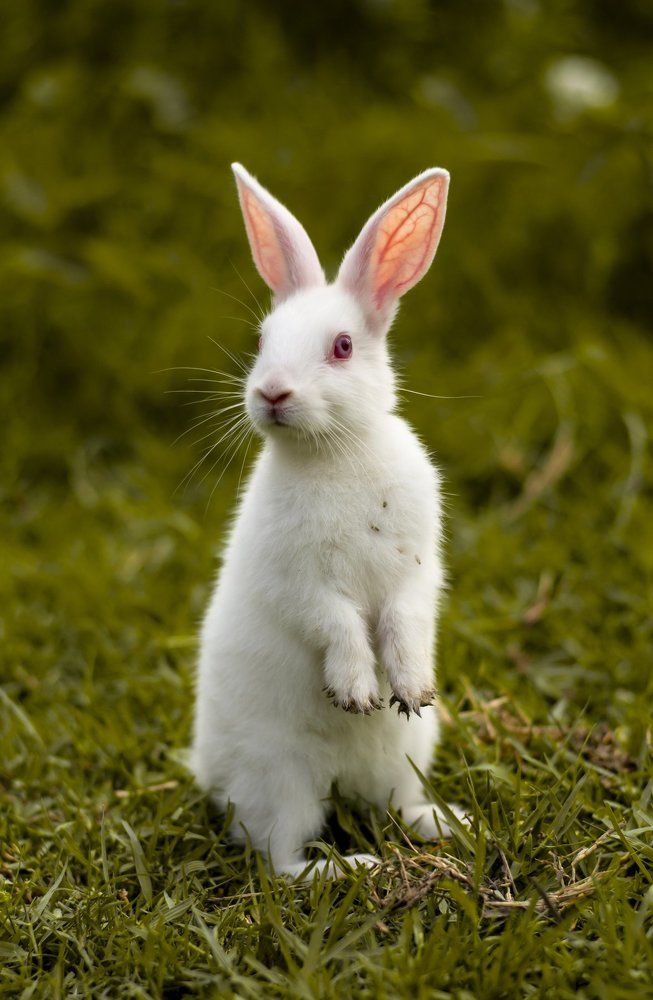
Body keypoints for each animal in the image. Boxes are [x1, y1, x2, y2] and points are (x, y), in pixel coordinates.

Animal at [191, 163, 466, 879]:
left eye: (342, 347)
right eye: (262, 341)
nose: (271, 393)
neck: (336, 451)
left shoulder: (417, 568)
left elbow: (403, 614)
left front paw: (408, 685)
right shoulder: (298, 582)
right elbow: (336, 622)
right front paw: (356, 691)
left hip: (403, 756)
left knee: (394, 807)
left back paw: (448, 823)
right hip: (280, 782)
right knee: (280, 858)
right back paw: (354, 868)